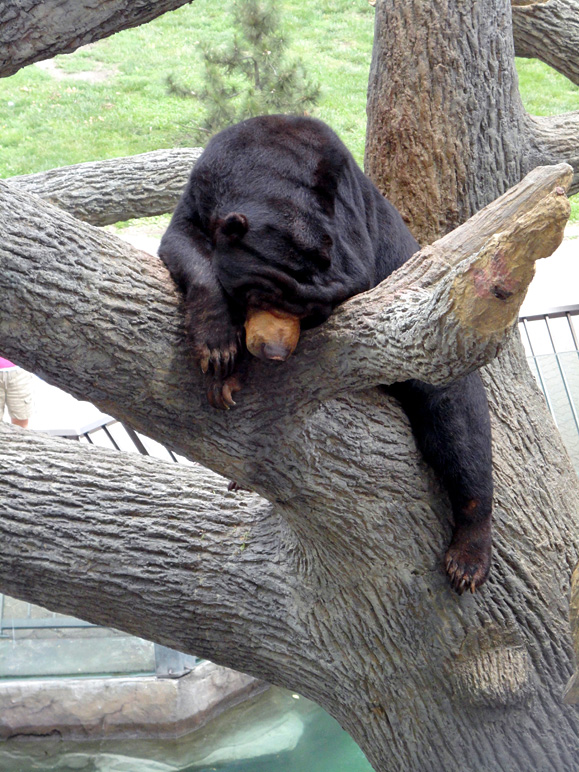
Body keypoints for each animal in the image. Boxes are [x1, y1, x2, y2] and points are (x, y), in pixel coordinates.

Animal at [159, 114, 493, 595]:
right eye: (258, 294)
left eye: (312, 314)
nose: (274, 351)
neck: (269, 165)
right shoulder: (202, 186)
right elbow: (183, 243)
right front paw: (221, 356)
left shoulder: (352, 229)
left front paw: (229, 372)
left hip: (439, 371)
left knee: (461, 433)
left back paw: (467, 558)